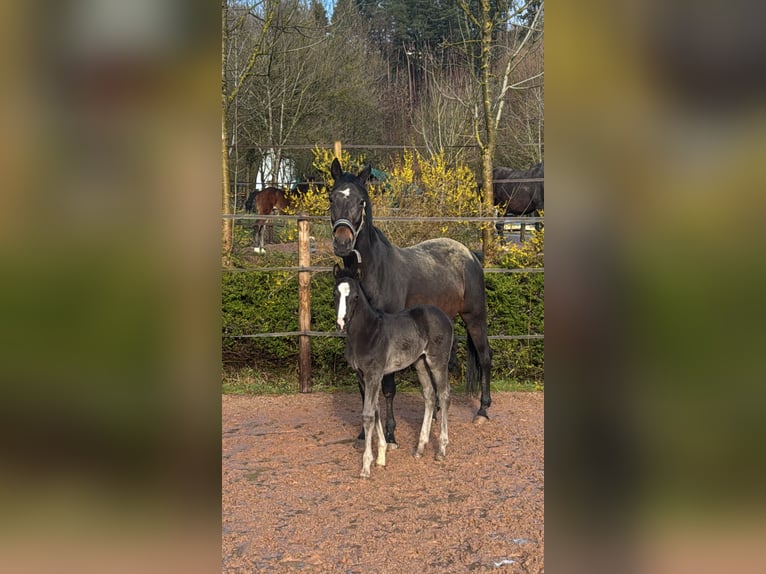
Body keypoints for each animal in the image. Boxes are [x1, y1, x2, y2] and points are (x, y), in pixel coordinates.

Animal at [329, 158, 492, 448]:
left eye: (361, 201)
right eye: (332, 198)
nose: (342, 241)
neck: (375, 271)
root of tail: (470, 254)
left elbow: (388, 389)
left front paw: (391, 435)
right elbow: (364, 391)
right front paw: (363, 435)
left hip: (475, 317)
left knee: (484, 357)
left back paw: (482, 411)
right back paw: (437, 412)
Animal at [334, 264, 453, 478]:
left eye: (355, 296)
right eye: (335, 293)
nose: (342, 323)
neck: (368, 332)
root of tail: (445, 317)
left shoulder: (374, 374)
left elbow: (368, 415)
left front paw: (366, 467)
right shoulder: (363, 376)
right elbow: (375, 410)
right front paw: (381, 457)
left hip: (437, 361)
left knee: (444, 394)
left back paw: (440, 450)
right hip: (420, 362)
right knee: (430, 395)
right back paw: (420, 448)